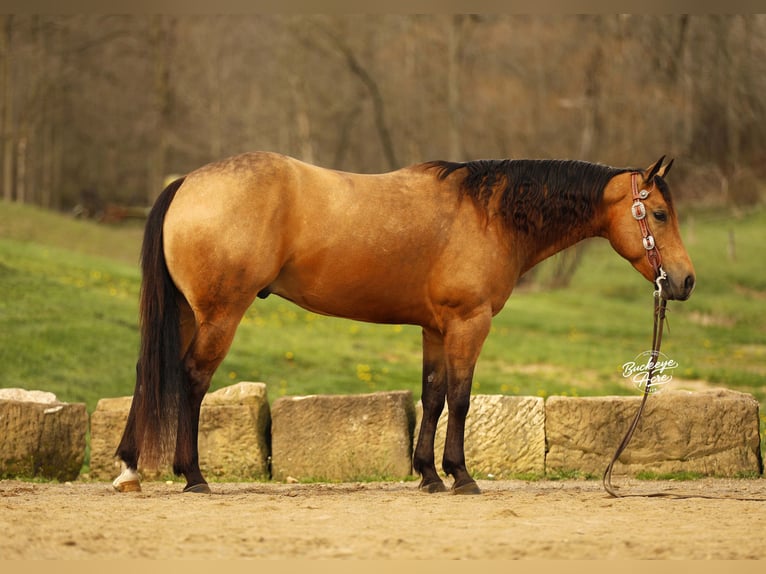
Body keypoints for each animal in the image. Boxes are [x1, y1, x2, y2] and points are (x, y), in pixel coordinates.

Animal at [112, 151, 695, 495]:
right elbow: (460, 397)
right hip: (219, 315)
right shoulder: (468, 324)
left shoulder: (436, 329)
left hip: (185, 313)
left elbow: (433, 397)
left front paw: (429, 475)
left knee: (148, 374)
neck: (487, 213)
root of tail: (187, 183)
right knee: (191, 380)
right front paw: (461, 475)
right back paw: (193, 476)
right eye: (660, 214)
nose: (685, 281)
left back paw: (130, 468)